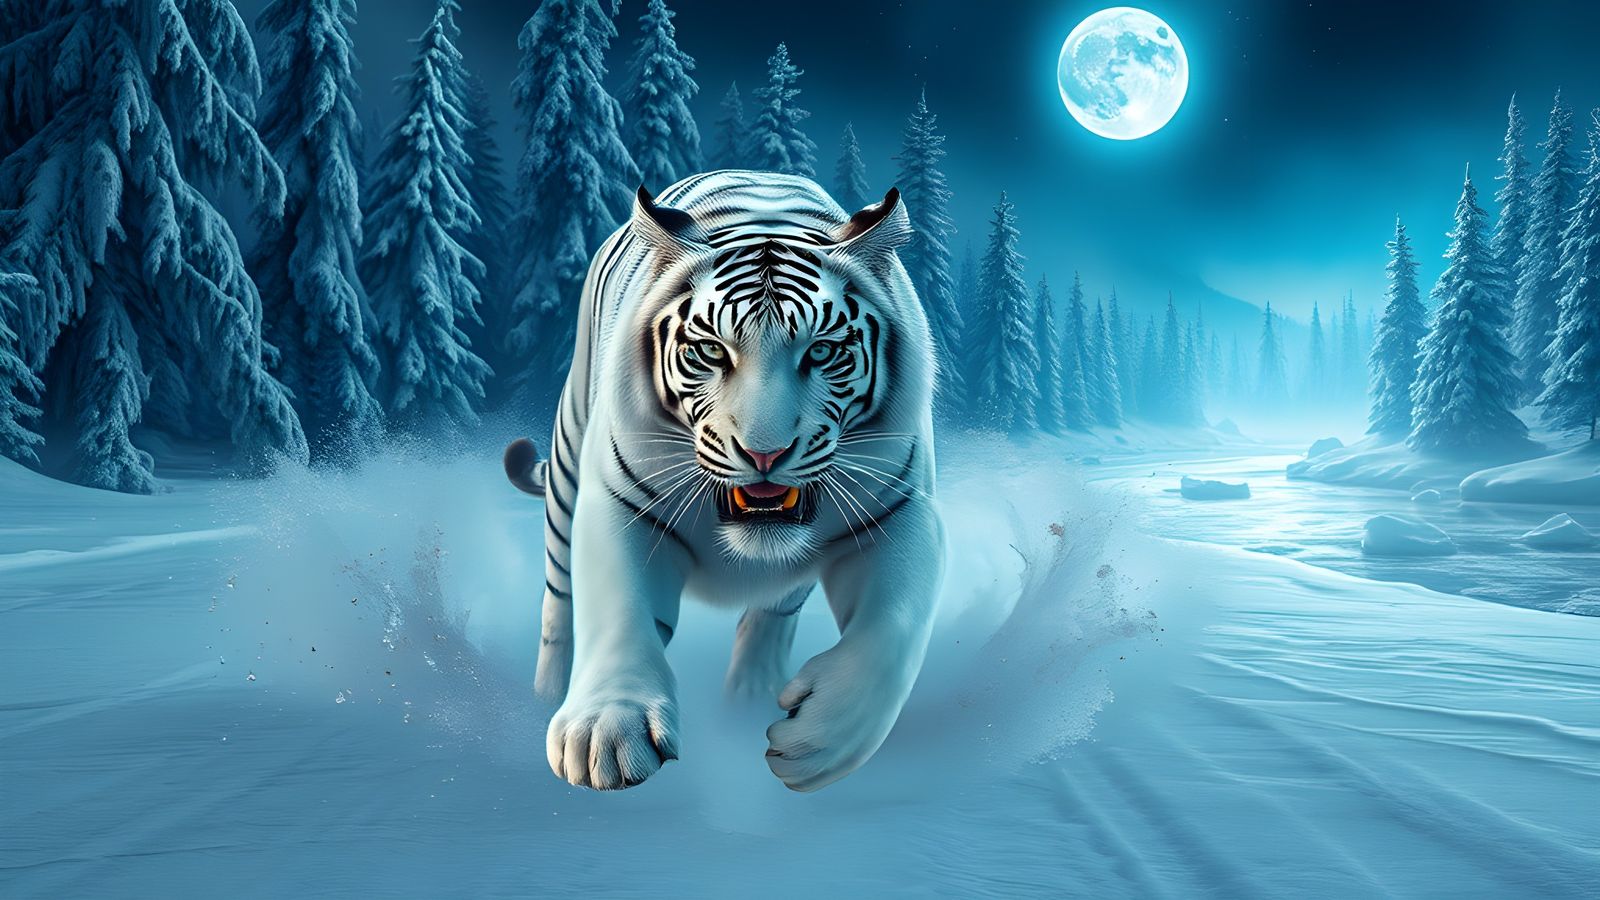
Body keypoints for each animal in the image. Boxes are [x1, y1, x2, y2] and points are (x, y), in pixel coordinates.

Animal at [503, 170, 944, 792]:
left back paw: (749, 697)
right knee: (558, 604)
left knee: (774, 609)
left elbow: (892, 629)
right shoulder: (617, 504)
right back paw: (543, 693)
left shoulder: (903, 512)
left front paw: (820, 738)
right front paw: (607, 731)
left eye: (822, 351)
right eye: (711, 349)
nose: (764, 453)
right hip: (567, 462)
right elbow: (618, 610)